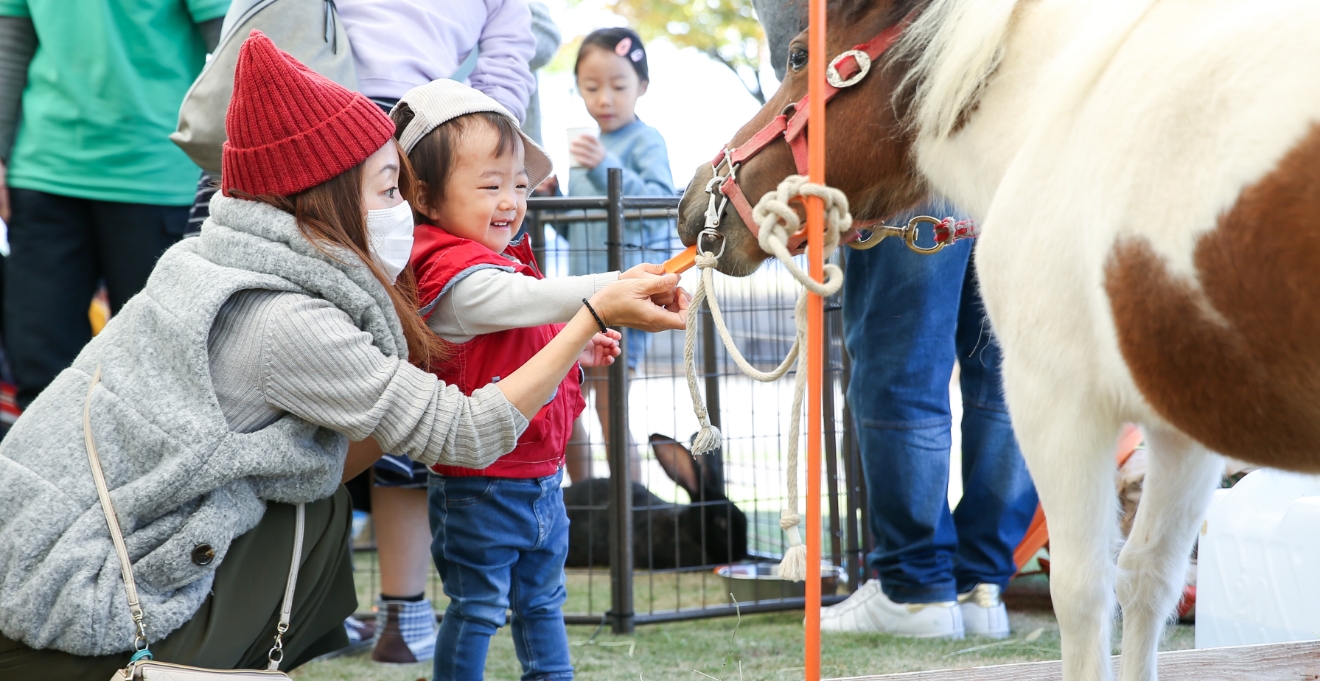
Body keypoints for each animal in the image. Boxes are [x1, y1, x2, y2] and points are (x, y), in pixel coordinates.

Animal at [681, 1, 1320, 681]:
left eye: (799, 56)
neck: (1055, 112)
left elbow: (1083, 592)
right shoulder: (1184, 424)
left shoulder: (1057, 403)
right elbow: (1149, 578)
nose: (695, 202)